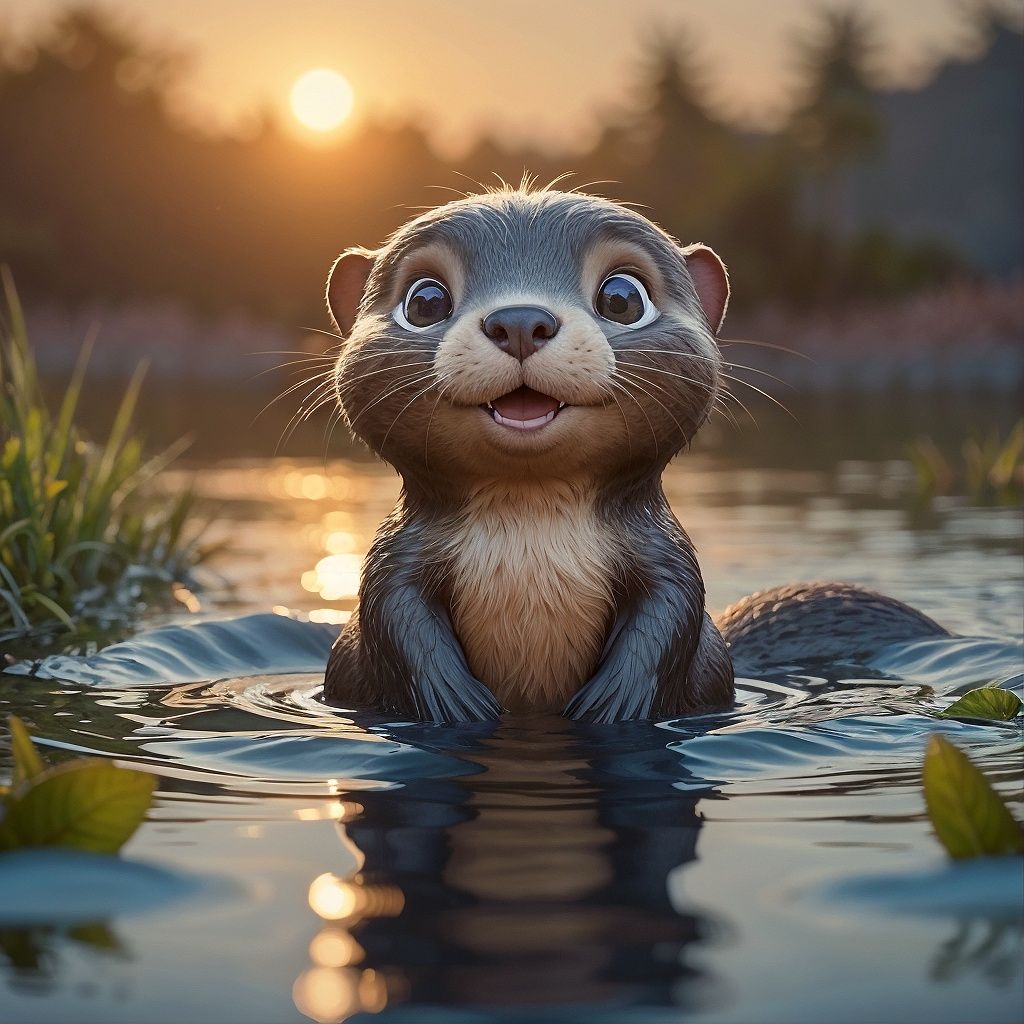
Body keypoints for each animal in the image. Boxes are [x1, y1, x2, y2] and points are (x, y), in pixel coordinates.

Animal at [322, 185, 947, 722]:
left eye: (622, 298)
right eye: (425, 301)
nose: (520, 319)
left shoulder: (665, 556)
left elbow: (671, 610)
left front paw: (617, 702)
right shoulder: (395, 558)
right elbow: (393, 611)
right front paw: (453, 701)